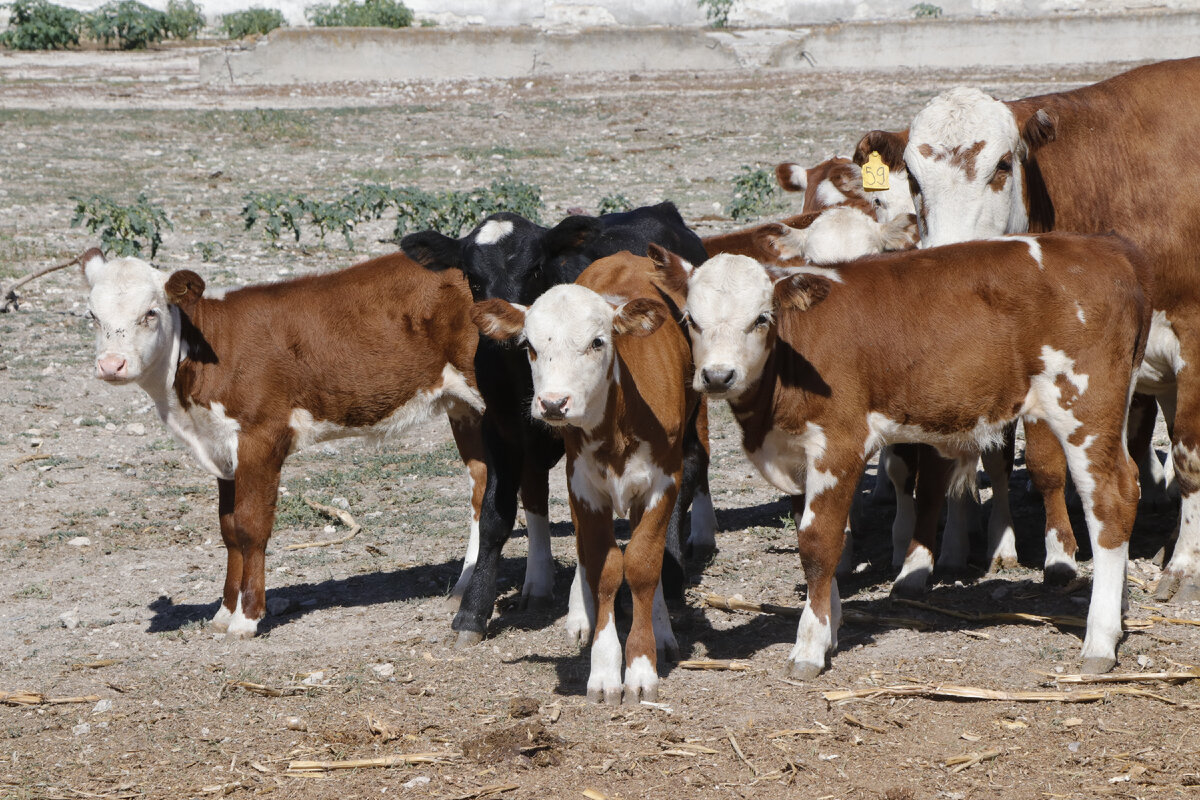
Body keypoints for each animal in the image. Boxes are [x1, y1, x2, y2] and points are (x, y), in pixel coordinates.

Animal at [667, 235, 1152, 681]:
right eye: (691, 320)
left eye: (761, 318)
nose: (717, 376)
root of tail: (1108, 249)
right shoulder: (797, 457)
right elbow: (822, 541)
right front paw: (831, 629)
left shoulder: (839, 445)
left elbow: (818, 544)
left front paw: (809, 645)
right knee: (1129, 484)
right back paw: (1120, 608)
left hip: (1084, 407)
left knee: (1110, 499)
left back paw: (1099, 638)